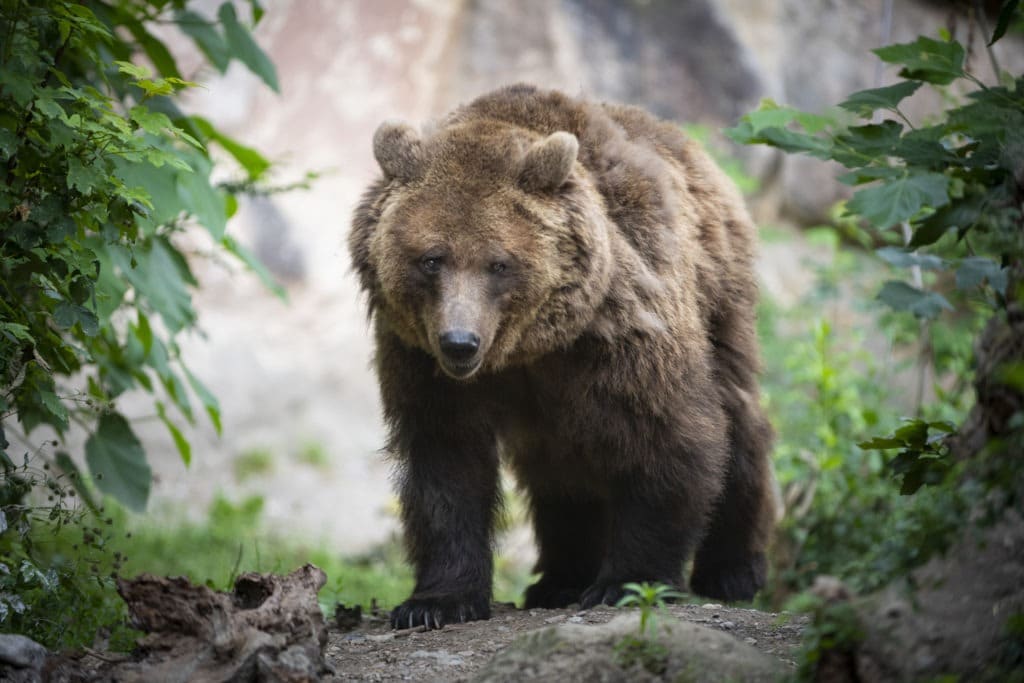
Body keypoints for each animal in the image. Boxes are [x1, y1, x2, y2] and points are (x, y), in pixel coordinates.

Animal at [348, 83, 770, 630]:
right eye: (431, 259)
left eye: (499, 263)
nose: (460, 342)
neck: (527, 350)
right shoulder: (419, 359)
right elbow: (447, 463)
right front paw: (435, 601)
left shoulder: (622, 329)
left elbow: (668, 436)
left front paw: (625, 583)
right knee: (562, 470)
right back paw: (559, 579)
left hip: (719, 294)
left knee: (737, 416)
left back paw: (733, 570)